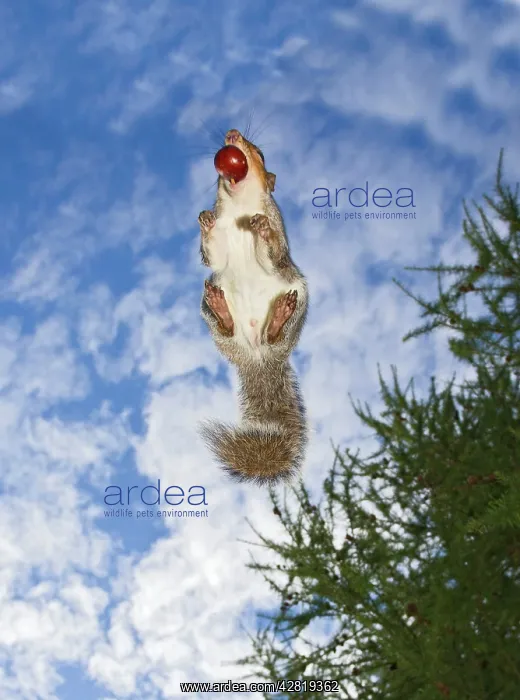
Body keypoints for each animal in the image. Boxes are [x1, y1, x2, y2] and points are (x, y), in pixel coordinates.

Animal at [198, 128, 309, 485]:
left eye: (259, 152)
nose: (232, 134)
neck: (239, 207)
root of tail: (258, 357)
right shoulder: (217, 249)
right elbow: (213, 254)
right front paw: (204, 221)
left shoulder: (277, 228)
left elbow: (274, 252)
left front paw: (262, 231)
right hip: (210, 312)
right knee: (226, 327)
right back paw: (222, 311)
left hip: (299, 295)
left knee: (277, 334)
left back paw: (278, 319)